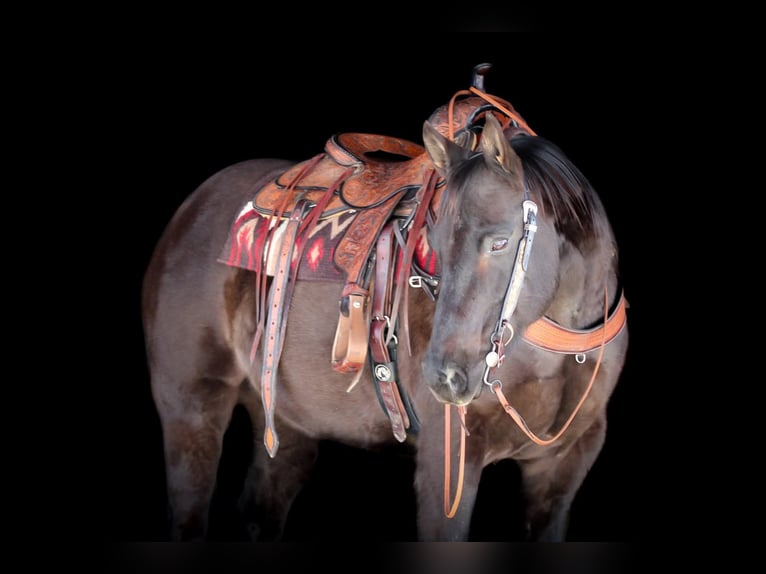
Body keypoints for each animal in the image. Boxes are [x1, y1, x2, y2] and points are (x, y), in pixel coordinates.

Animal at [141, 68, 629, 542]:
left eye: (501, 242)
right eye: (433, 243)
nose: (445, 377)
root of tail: (189, 212)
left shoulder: (563, 467)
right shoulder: (448, 461)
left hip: (286, 424)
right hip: (191, 409)